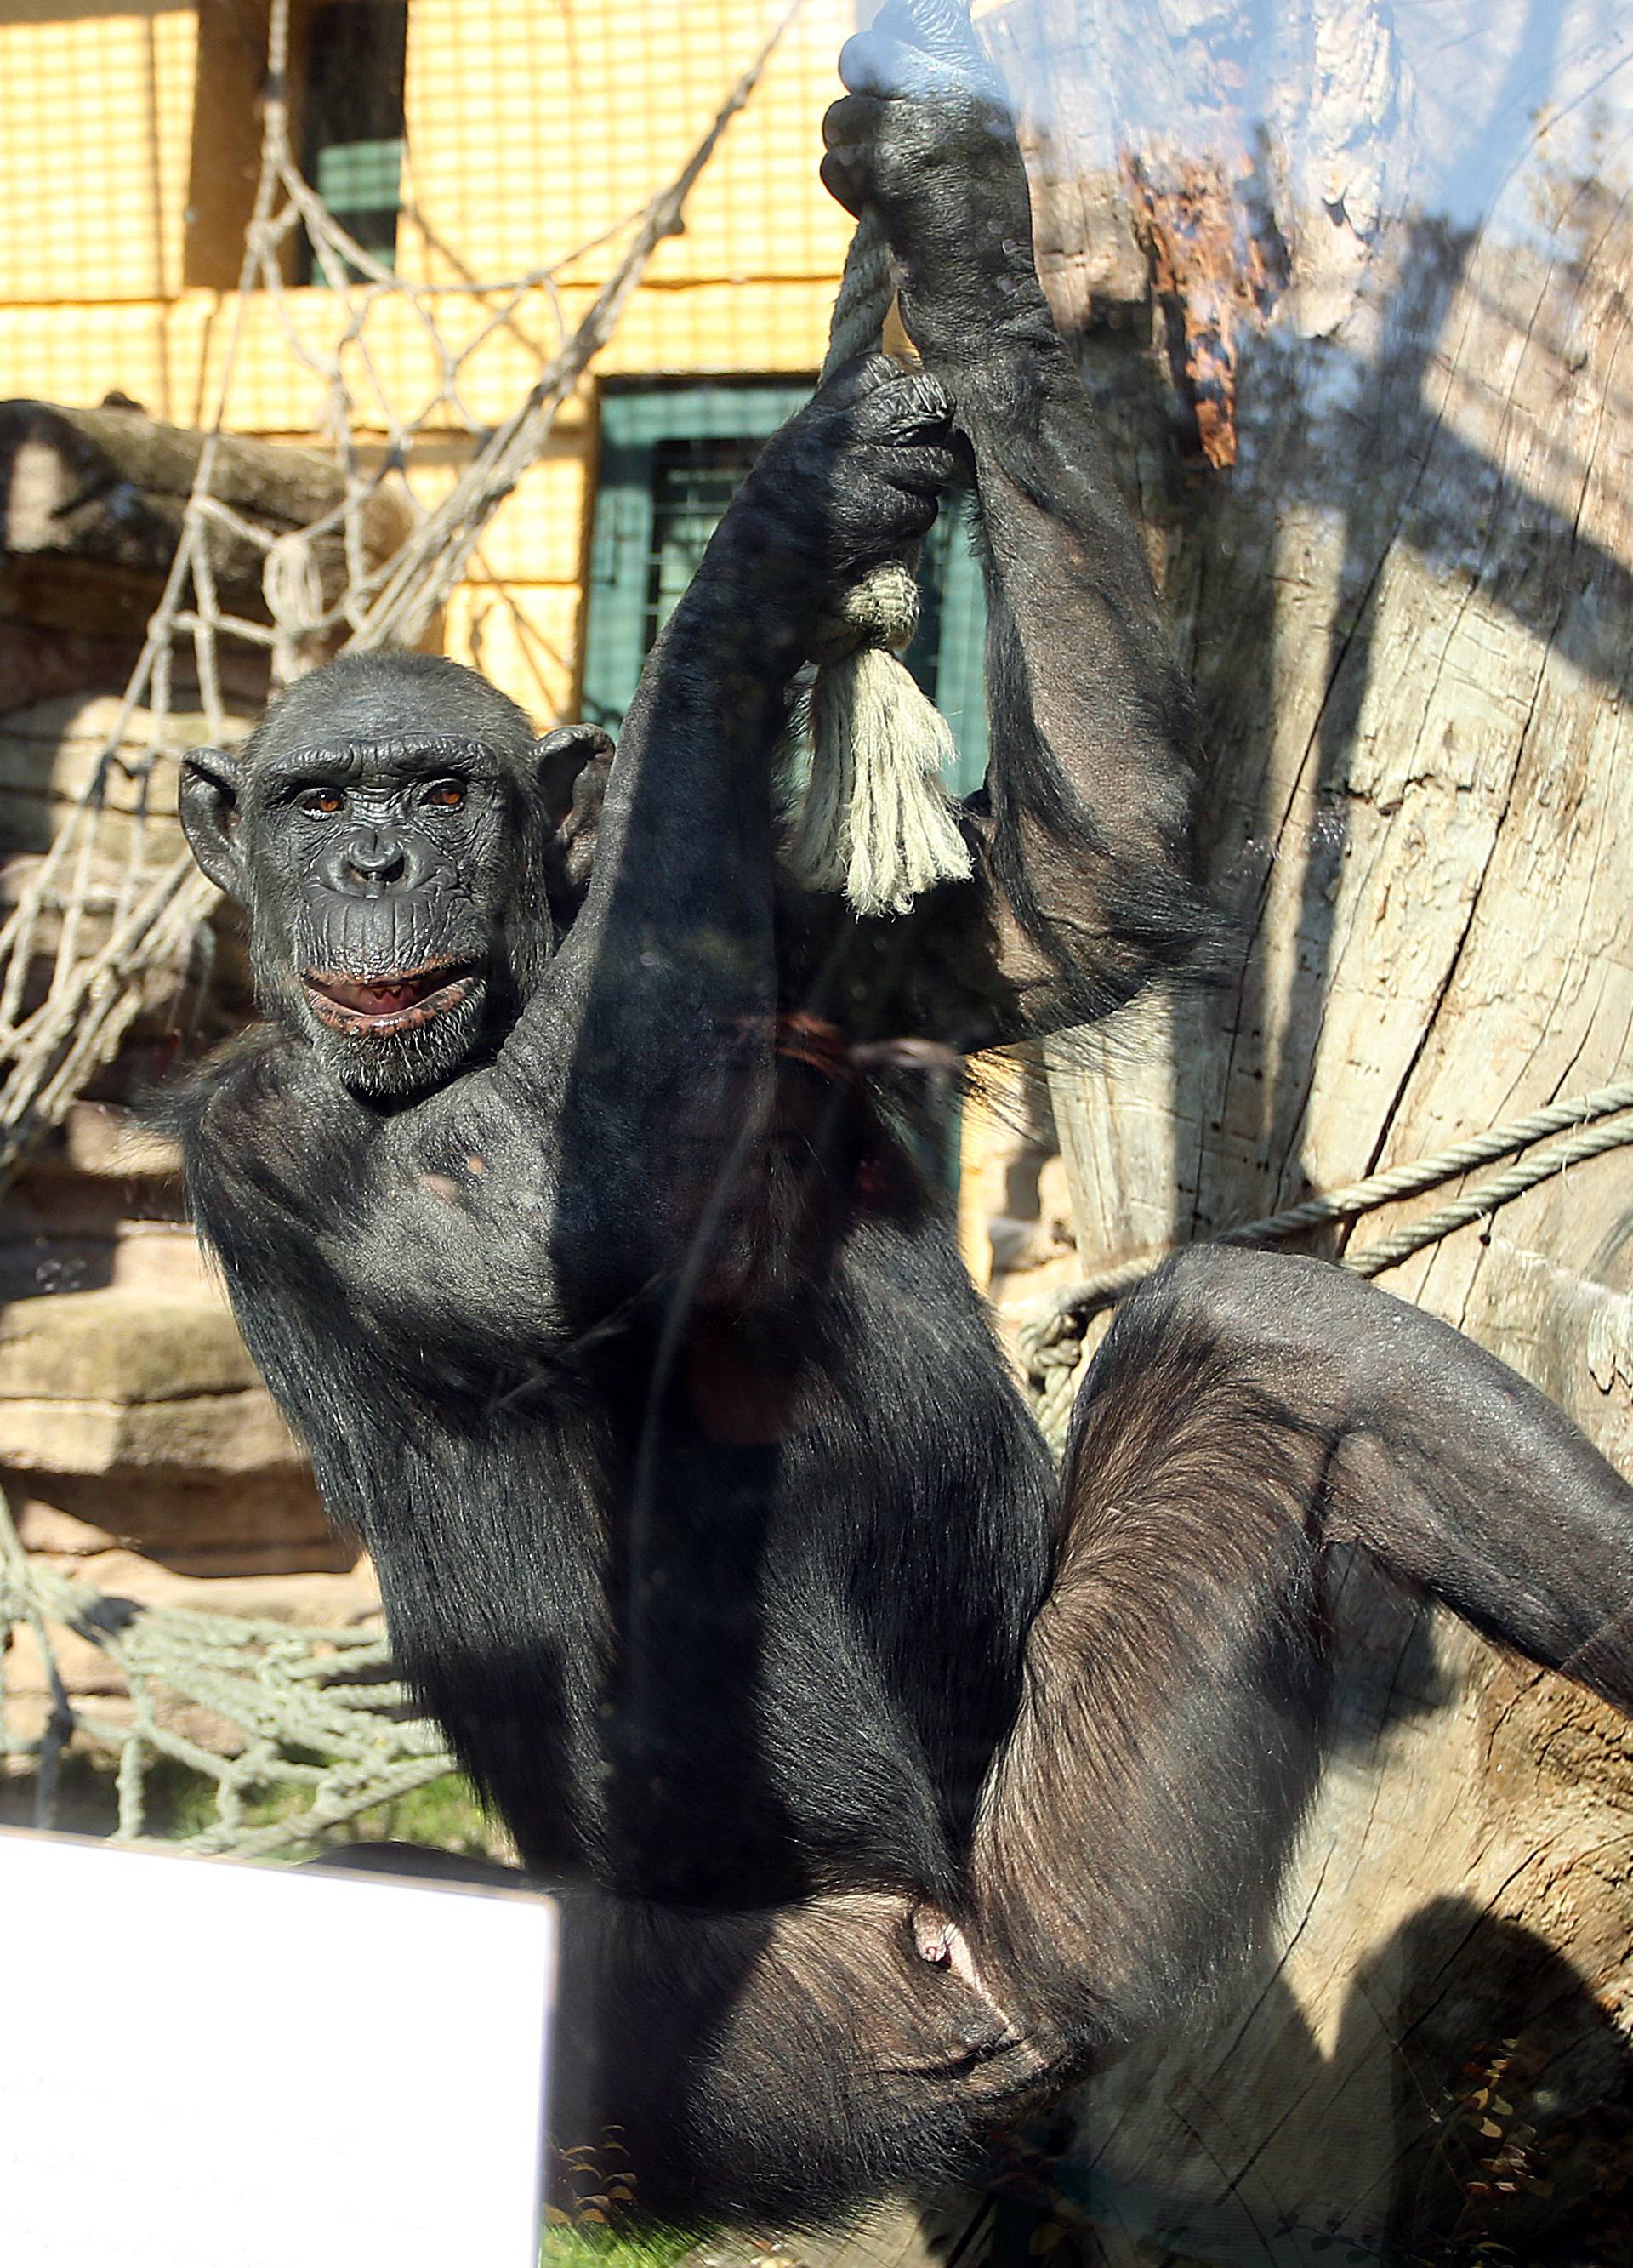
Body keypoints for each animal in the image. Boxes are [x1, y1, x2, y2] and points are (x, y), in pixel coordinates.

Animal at [168, 13, 1633, 2231]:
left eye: (435, 790)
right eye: (316, 798)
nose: (377, 871)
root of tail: (980, 1975)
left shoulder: (828, 933)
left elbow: (1075, 898)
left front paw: (949, 215)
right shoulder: (266, 1125)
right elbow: (535, 1241)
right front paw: (787, 520)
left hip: (1085, 1834)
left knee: (1279, 1349)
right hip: (774, 2040)